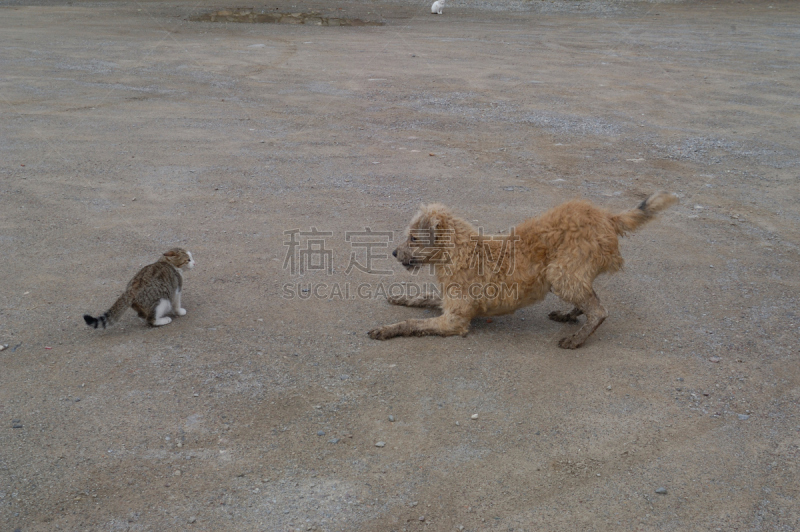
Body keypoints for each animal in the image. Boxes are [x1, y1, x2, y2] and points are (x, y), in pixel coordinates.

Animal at [368, 192, 676, 350]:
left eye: (414, 238)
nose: (393, 253)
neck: (459, 250)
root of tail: (606, 216)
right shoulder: (447, 302)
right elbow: (421, 298)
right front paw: (399, 298)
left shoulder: (454, 321)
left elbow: (411, 324)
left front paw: (386, 330)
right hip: (569, 273)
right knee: (589, 298)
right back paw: (569, 315)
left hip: (560, 274)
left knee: (599, 311)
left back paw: (576, 339)